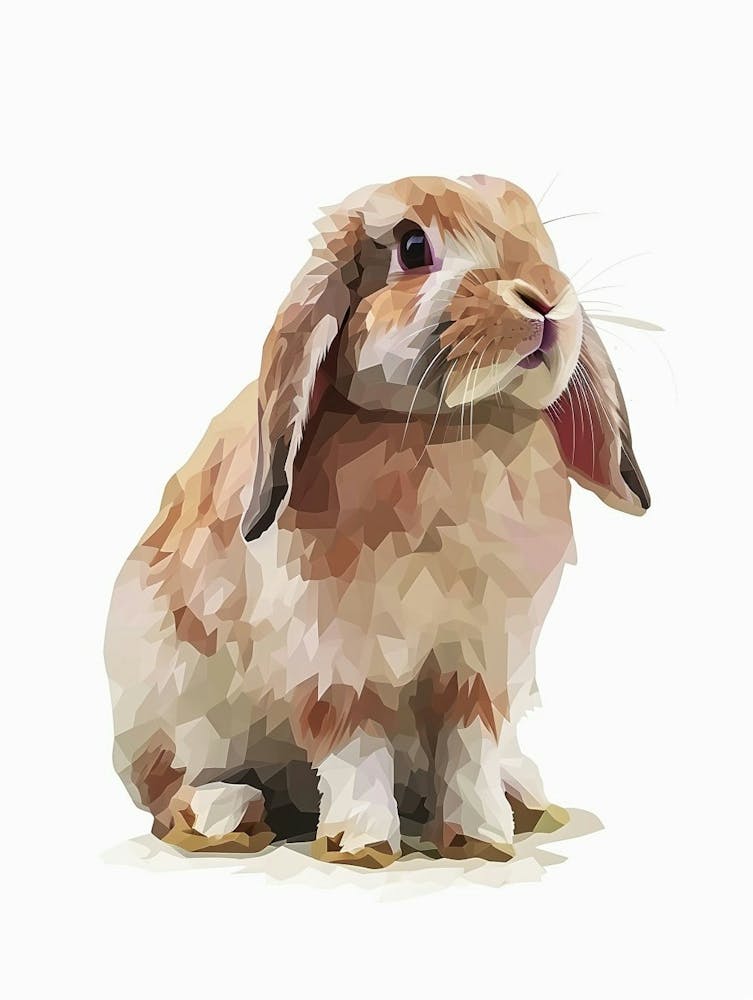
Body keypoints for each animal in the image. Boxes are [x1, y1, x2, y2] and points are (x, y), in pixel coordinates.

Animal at [104, 174, 649, 867]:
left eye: (535, 228)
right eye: (413, 247)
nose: (545, 301)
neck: (448, 431)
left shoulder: (482, 659)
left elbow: (469, 746)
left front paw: (482, 839)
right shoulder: (333, 660)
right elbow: (354, 743)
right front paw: (363, 846)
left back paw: (522, 798)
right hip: (174, 707)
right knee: (169, 788)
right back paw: (227, 814)